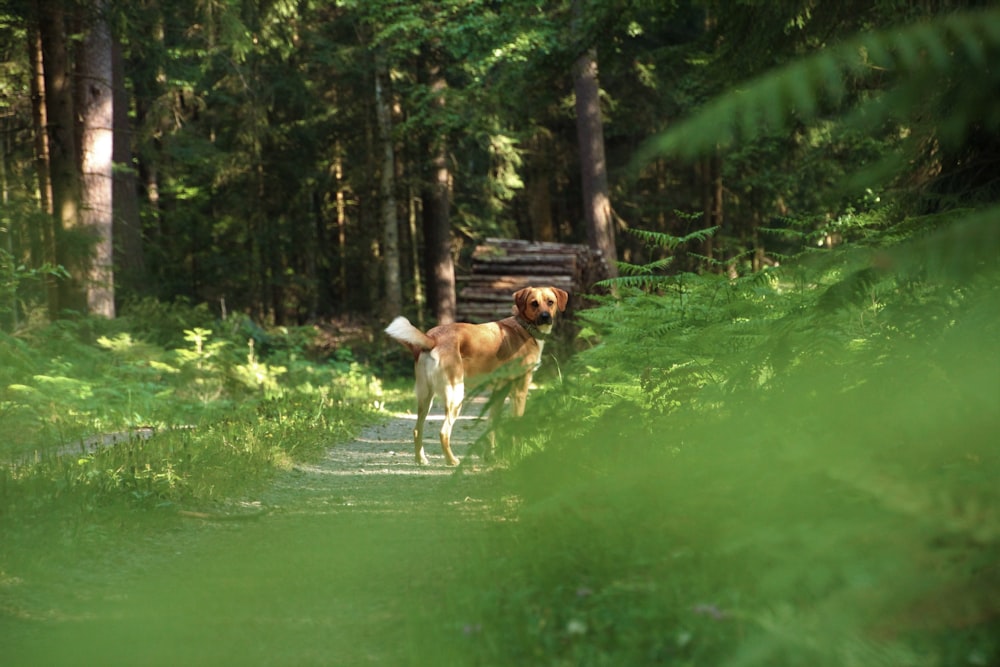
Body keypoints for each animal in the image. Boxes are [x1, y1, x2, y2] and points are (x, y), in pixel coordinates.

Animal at [384, 286, 568, 464]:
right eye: (534, 303)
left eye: (550, 302)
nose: (545, 316)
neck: (524, 327)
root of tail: (433, 338)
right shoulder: (519, 391)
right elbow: (516, 426)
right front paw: (518, 454)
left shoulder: (499, 392)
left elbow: (491, 426)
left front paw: (490, 456)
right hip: (455, 396)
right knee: (443, 432)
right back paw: (452, 461)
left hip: (426, 398)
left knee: (417, 429)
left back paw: (421, 459)